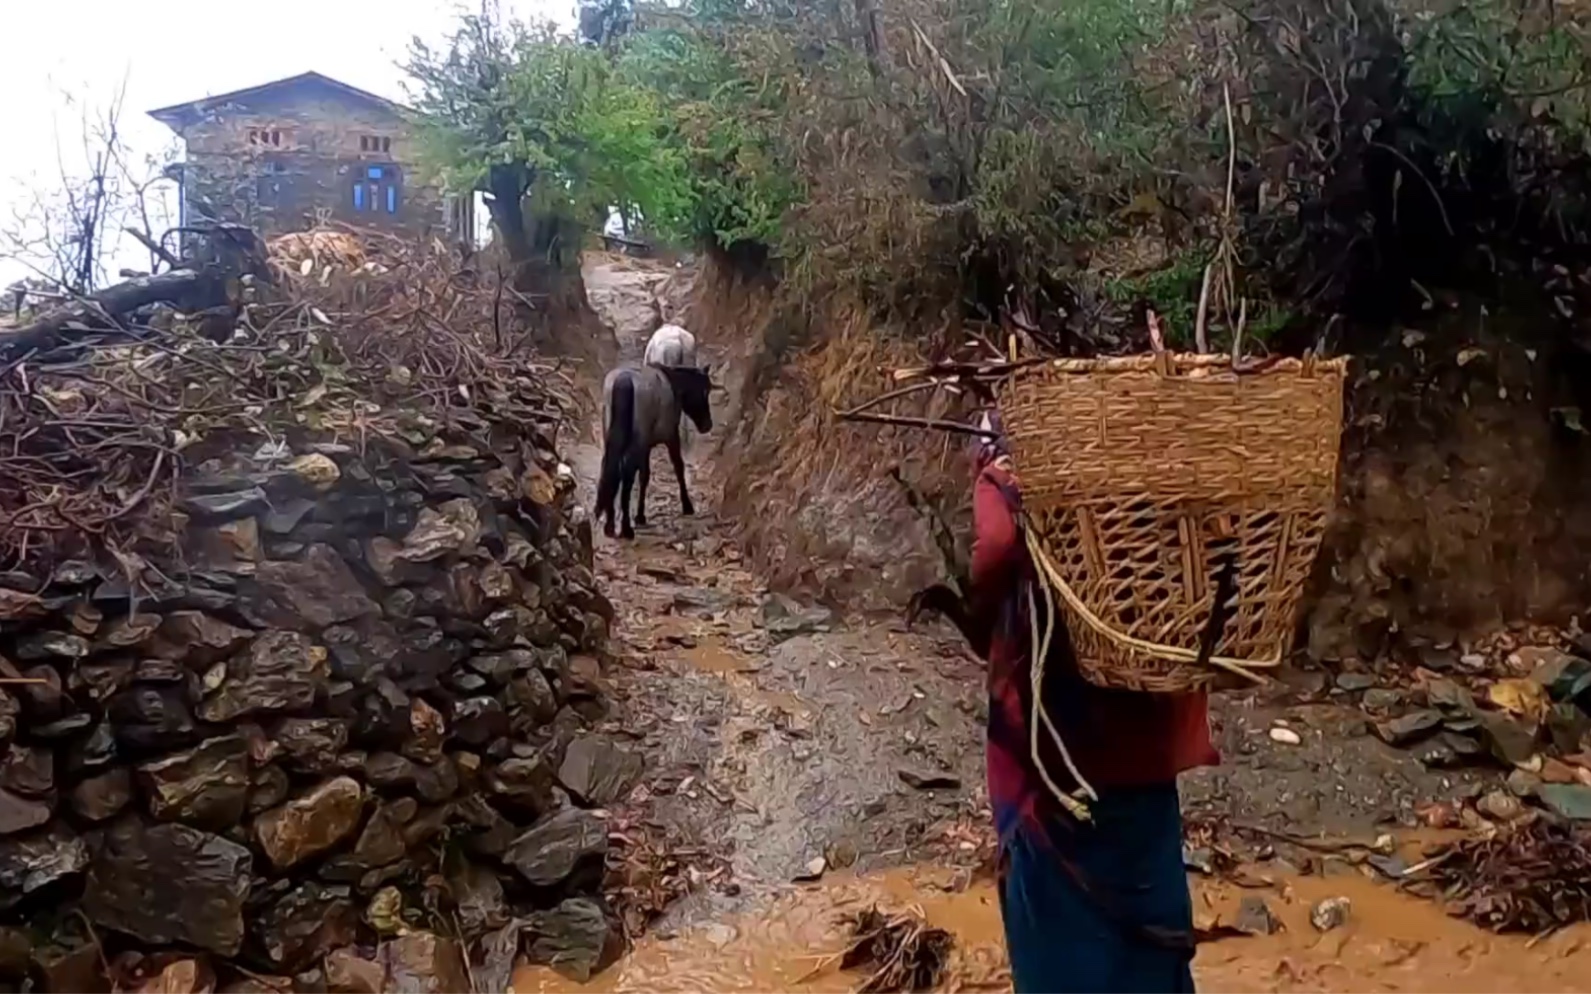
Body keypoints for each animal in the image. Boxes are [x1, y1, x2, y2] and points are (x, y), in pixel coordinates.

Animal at [595, 362, 712, 537]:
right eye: (705, 391)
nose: (707, 425)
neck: (672, 384)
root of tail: (623, 380)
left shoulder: (646, 447)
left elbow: (644, 476)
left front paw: (640, 516)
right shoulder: (670, 436)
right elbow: (678, 467)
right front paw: (687, 505)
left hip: (611, 438)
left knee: (611, 470)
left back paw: (610, 526)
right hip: (637, 443)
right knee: (627, 474)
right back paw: (626, 529)